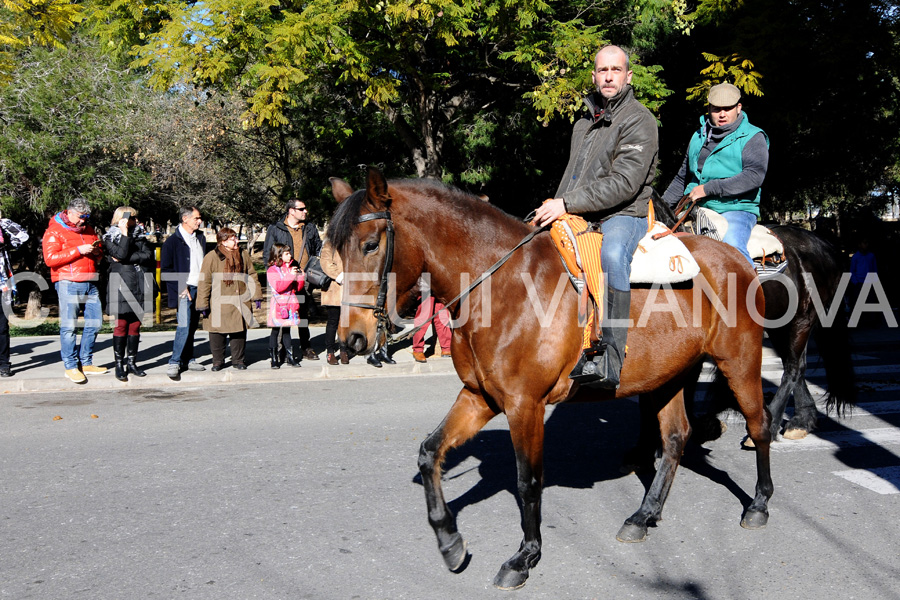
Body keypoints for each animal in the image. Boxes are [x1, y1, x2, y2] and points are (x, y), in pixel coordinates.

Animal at [328, 169, 772, 592]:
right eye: (338, 249)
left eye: (370, 245)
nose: (352, 339)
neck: (502, 286)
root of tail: (736, 257)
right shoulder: (480, 396)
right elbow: (429, 451)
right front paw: (449, 541)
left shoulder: (525, 404)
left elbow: (528, 481)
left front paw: (524, 557)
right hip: (670, 374)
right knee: (677, 437)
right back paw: (643, 516)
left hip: (740, 362)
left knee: (759, 425)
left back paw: (758, 505)